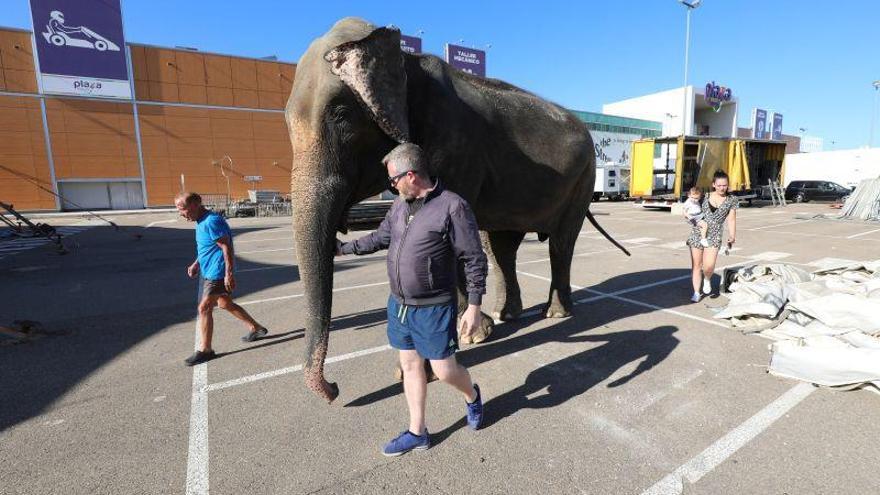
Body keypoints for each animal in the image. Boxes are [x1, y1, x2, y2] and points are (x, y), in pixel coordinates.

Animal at [288, 17, 624, 404]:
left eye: (342, 116)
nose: (334, 389)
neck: (405, 62)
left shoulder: (457, 150)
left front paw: (466, 338)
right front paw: (469, 335)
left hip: (583, 179)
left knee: (560, 243)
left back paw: (554, 314)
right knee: (500, 245)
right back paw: (507, 315)